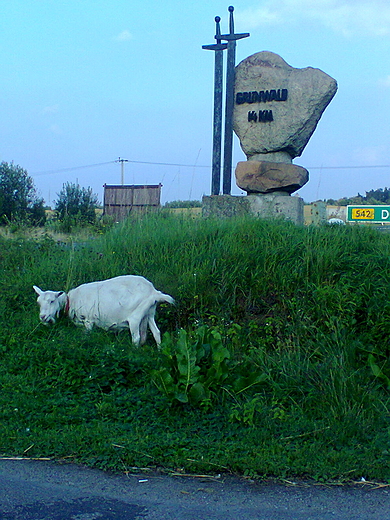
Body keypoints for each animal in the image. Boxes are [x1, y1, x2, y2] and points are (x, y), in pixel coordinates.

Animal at [33, 276, 174, 346]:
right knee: (156, 333)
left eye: (52, 301)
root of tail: (153, 292)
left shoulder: (88, 321)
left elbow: (87, 335)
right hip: (149, 312)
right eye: (39, 302)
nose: (43, 317)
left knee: (136, 338)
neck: (71, 301)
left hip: (135, 316)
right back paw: (160, 350)